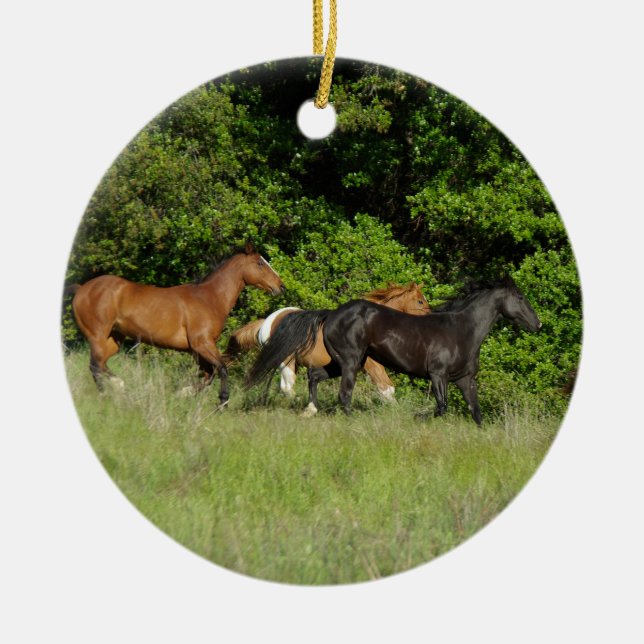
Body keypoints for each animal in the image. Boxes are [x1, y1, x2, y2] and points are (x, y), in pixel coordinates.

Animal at [70, 243, 285, 403]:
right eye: (259, 263)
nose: (281, 286)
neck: (209, 298)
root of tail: (82, 289)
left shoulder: (196, 350)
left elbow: (209, 375)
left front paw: (183, 393)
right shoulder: (202, 344)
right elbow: (221, 369)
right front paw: (222, 401)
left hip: (113, 340)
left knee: (100, 365)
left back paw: (120, 387)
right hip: (98, 336)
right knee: (95, 366)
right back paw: (109, 394)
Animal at [227, 283, 431, 414]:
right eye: (420, 301)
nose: (431, 317)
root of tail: (268, 321)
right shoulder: (371, 364)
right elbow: (386, 388)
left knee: (285, 387)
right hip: (285, 361)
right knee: (288, 387)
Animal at [248, 278, 541, 425]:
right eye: (520, 297)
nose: (537, 324)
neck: (462, 329)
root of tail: (332, 314)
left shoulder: (464, 379)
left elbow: (476, 411)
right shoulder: (438, 375)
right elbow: (441, 407)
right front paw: (415, 417)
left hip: (342, 362)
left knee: (315, 377)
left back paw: (313, 409)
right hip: (351, 362)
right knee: (343, 395)